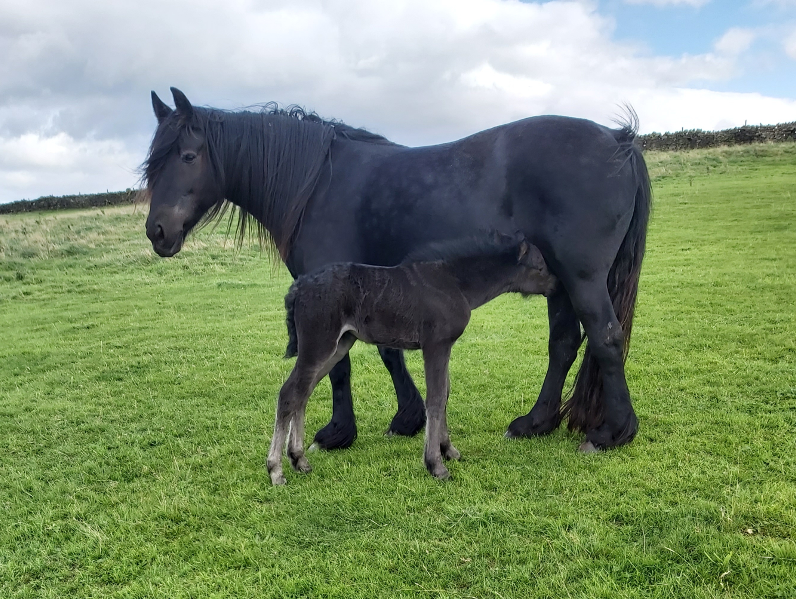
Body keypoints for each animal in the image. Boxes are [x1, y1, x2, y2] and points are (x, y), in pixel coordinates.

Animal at [268, 232, 560, 486]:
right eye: (539, 267)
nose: (556, 285)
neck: (455, 282)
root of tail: (298, 287)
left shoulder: (444, 346)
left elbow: (445, 395)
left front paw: (448, 450)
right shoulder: (436, 345)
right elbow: (436, 398)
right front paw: (436, 465)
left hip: (339, 345)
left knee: (303, 394)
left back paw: (299, 460)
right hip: (318, 344)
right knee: (289, 394)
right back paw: (276, 470)